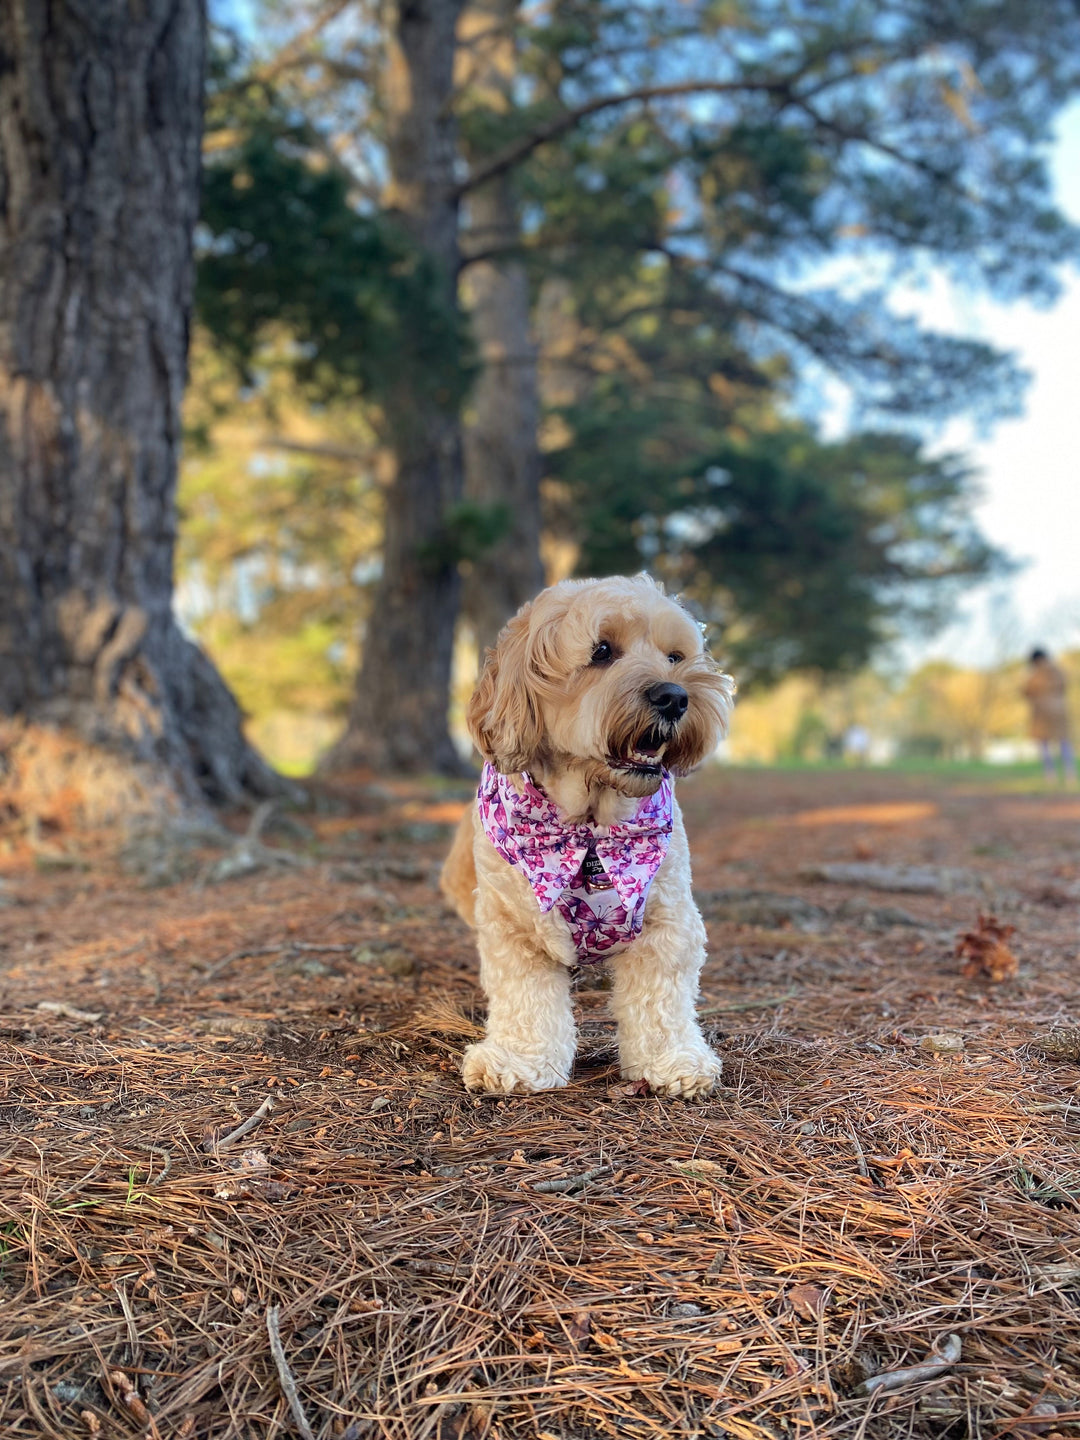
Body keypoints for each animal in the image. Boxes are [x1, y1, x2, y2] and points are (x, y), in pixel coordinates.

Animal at [440, 573, 737, 1088]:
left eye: (675, 656)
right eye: (601, 650)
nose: (676, 696)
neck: (592, 830)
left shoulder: (667, 919)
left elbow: (662, 999)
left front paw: (671, 1061)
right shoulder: (514, 927)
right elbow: (526, 1001)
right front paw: (519, 1061)